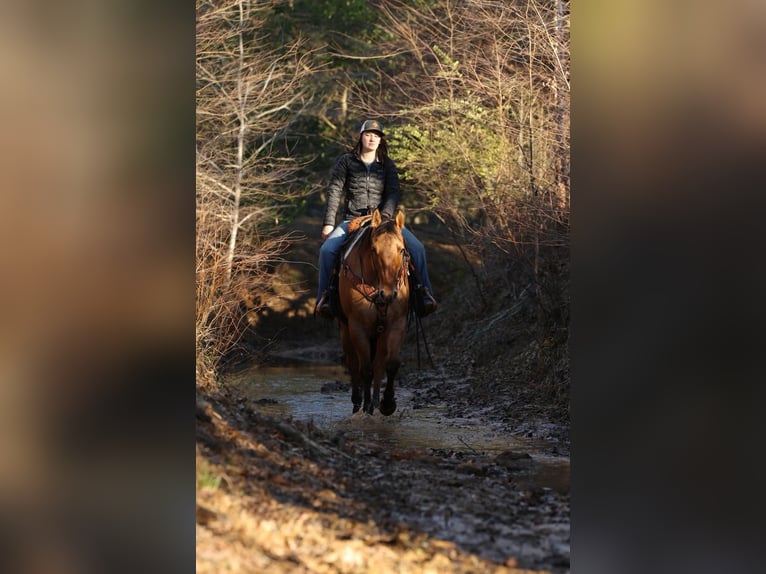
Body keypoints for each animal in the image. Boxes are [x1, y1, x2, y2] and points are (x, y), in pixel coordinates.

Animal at [340, 209, 412, 416]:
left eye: (401, 250)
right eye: (373, 250)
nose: (387, 294)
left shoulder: (397, 324)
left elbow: (391, 363)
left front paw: (387, 404)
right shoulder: (358, 327)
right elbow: (365, 369)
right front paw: (366, 408)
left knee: (379, 364)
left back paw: (376, 402)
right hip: (345, 329)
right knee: (353, 363)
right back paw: (358, 402)